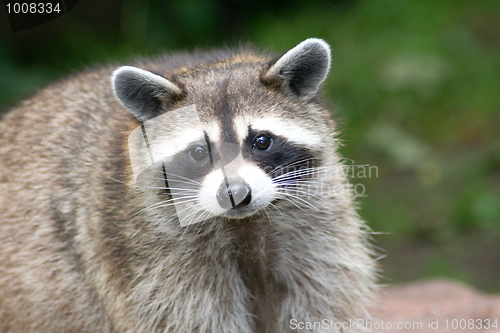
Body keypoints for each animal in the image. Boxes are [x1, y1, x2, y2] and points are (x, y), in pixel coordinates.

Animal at [0, 39, 376, 332]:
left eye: (262, 141)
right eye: (198, 152)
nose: (235, 195)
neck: (245, 226)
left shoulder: (317, 231)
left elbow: (314, 303)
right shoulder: (142, 254)